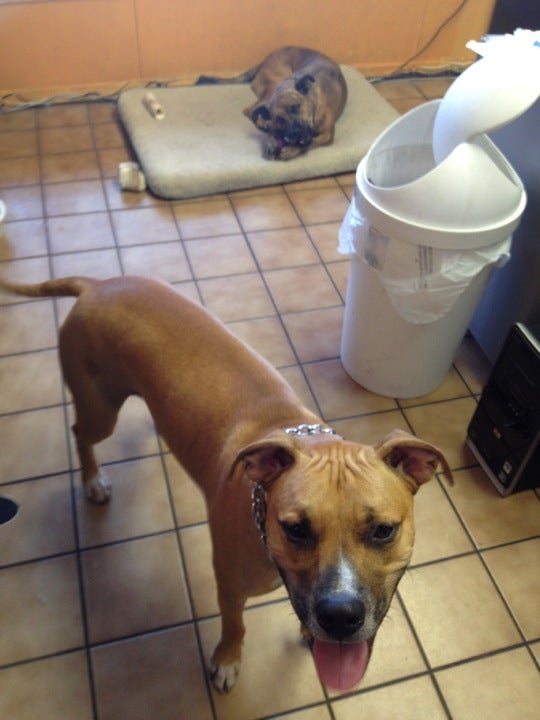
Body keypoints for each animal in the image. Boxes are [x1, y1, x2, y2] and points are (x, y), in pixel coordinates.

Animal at [1, 275, 452, 693]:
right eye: (295, 529)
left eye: (384, 530)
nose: (339, 616)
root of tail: (98, 284)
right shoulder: (229, 582)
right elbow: (235, 623)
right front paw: (228, 660)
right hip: (100, 410)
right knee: (79, 433)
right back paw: (92, 481)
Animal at [196, 46, 348, 160]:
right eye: (280, 119)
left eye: (296, 107)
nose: (294, 135)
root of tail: (263, 61)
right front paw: (273, 139)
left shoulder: (327, 135)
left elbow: (309, 144)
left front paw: (291, 150)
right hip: (275, 83)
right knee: (252, 110)